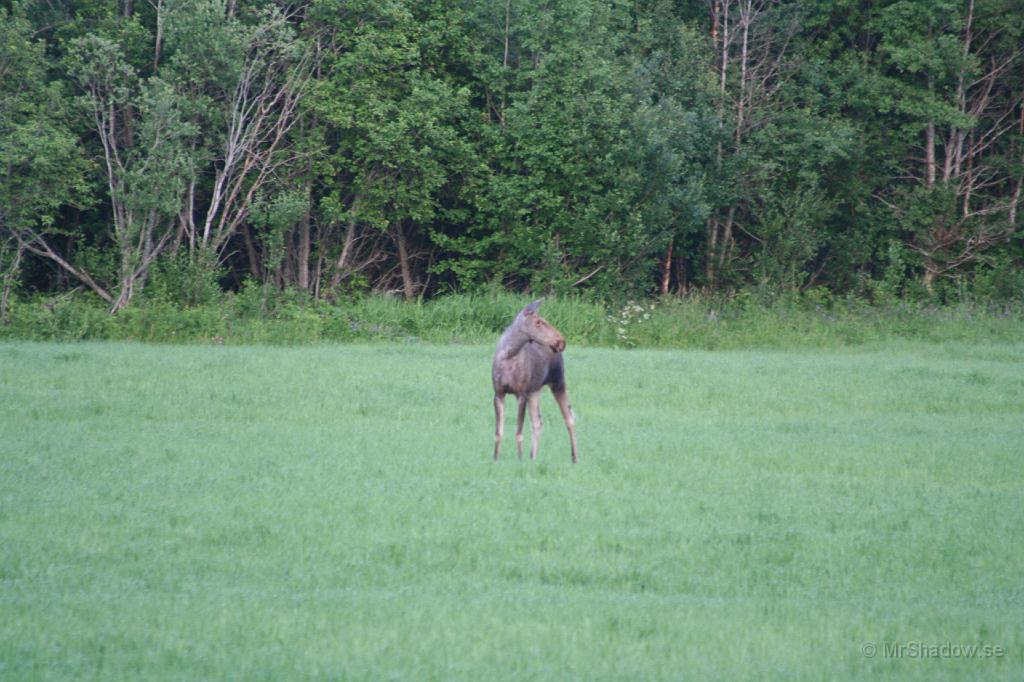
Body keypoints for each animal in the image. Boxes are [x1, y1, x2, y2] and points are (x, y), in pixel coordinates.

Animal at [489, 299, 577, 462]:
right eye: (538, 322)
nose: (561, 341)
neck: (508, 355)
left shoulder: (521, 393)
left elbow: (518, 432)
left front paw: (520, 459)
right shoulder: (499, 393)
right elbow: (498, 432)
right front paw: (495, 459)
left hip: (558, 381)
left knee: (569, 417)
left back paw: (575, 459)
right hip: (535, 390)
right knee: (538, 421)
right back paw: (533, 457)